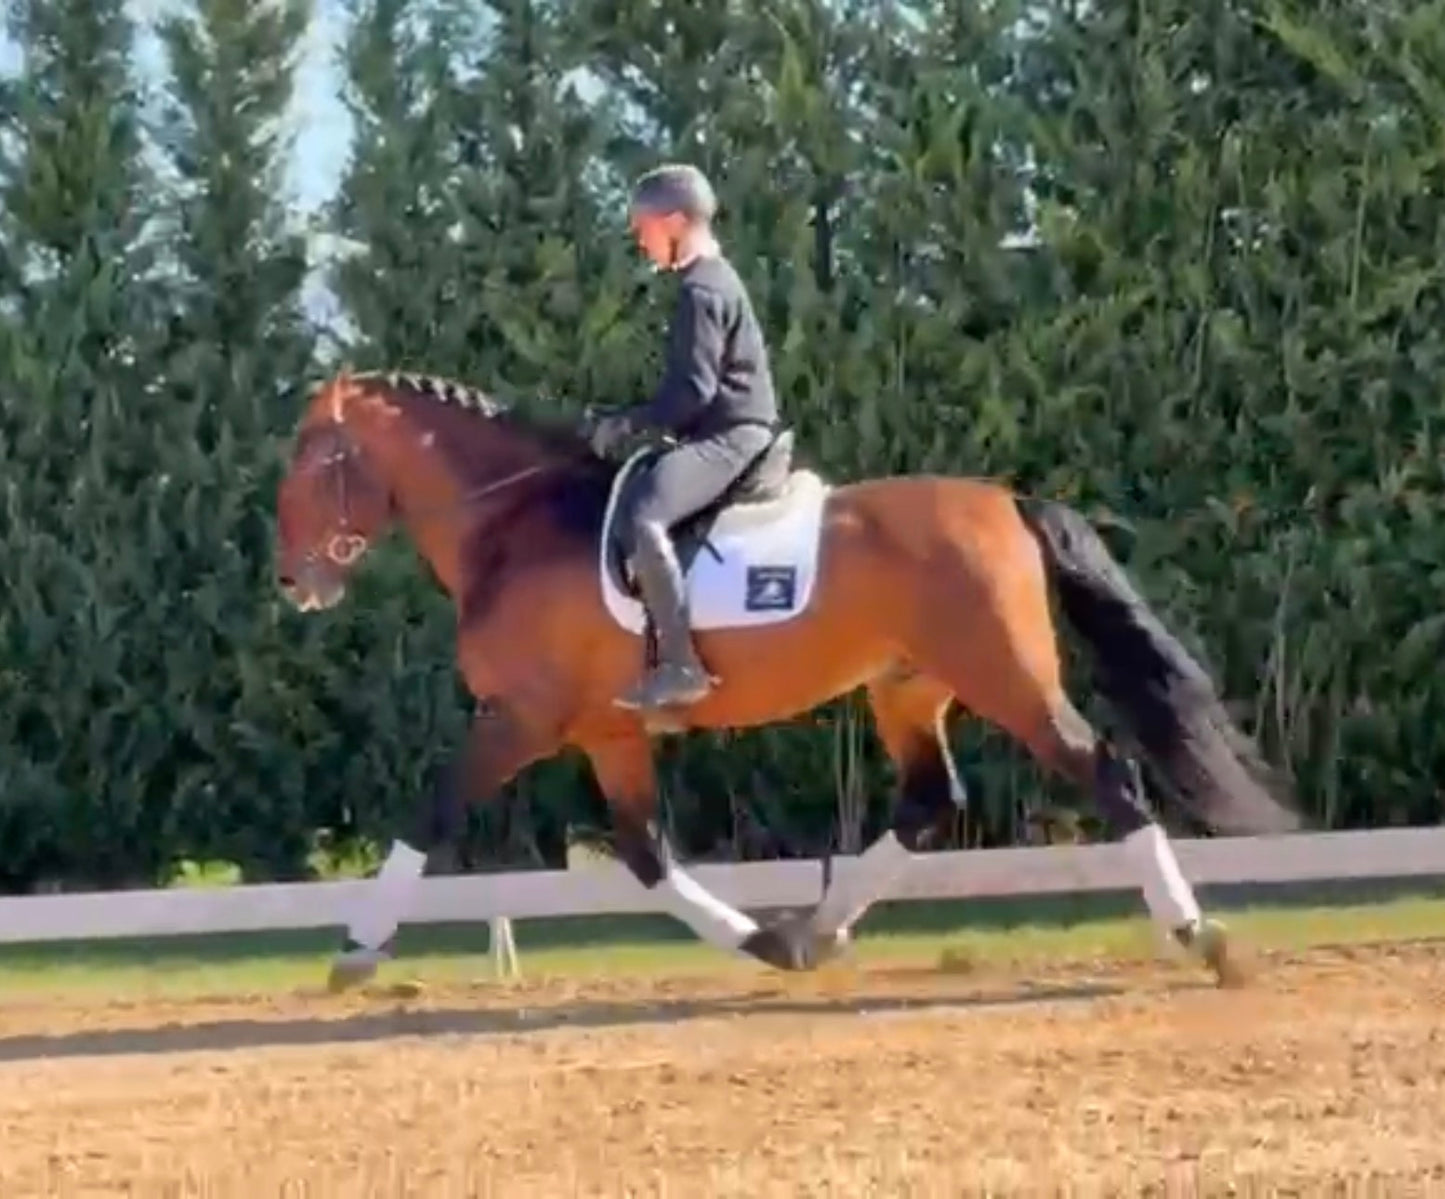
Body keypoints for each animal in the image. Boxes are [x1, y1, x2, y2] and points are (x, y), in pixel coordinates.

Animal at [273, 368, 1303, 992]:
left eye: (315, 461)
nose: (294, 582)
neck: (514, 525)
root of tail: (1006, 500)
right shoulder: (607, 732)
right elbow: (644, 852)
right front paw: (763, 940)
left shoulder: (520, 716)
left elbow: (434, 809)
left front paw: (356, 950)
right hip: (906, 686)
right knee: (928, 799)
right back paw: (814, 930)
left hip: (1004, 676)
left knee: (1104, 773)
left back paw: (1199, 934)